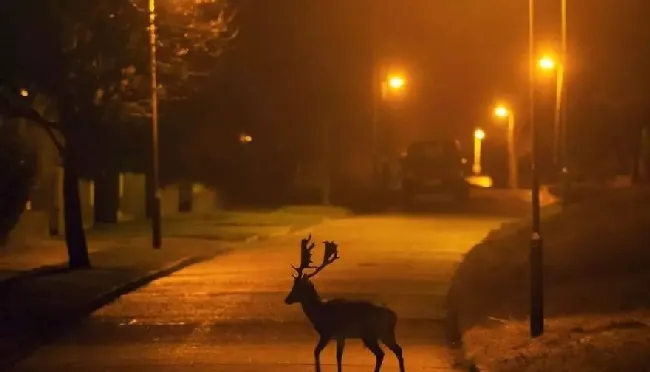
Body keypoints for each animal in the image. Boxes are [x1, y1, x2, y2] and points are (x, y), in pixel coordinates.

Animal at [284, 234, 404, 372]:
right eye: (293, 286)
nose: (287, 299)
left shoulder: (327, 333)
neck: (319, 313)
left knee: (381, 353)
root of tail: (394, 316)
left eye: (298, 287)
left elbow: (316, 352)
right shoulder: (341, 336)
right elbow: (338, 357)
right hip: (386, 333)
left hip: (369, 334)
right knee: (398, 349)